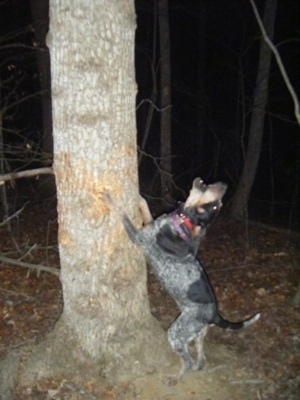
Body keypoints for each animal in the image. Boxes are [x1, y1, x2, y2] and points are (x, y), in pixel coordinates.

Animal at [104, 178, 258, 384]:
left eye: (215, 205)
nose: (225, 185)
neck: (183, 223)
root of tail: (214, 315)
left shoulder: (138, 237)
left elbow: (122, 213)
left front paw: (110, 198)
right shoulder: (150, 223)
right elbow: (144, 205)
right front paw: (139, 195)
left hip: (176, 334)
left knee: (188, 361)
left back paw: (176, 377)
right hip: (197, 332)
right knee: (201, 352)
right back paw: (199, 364)